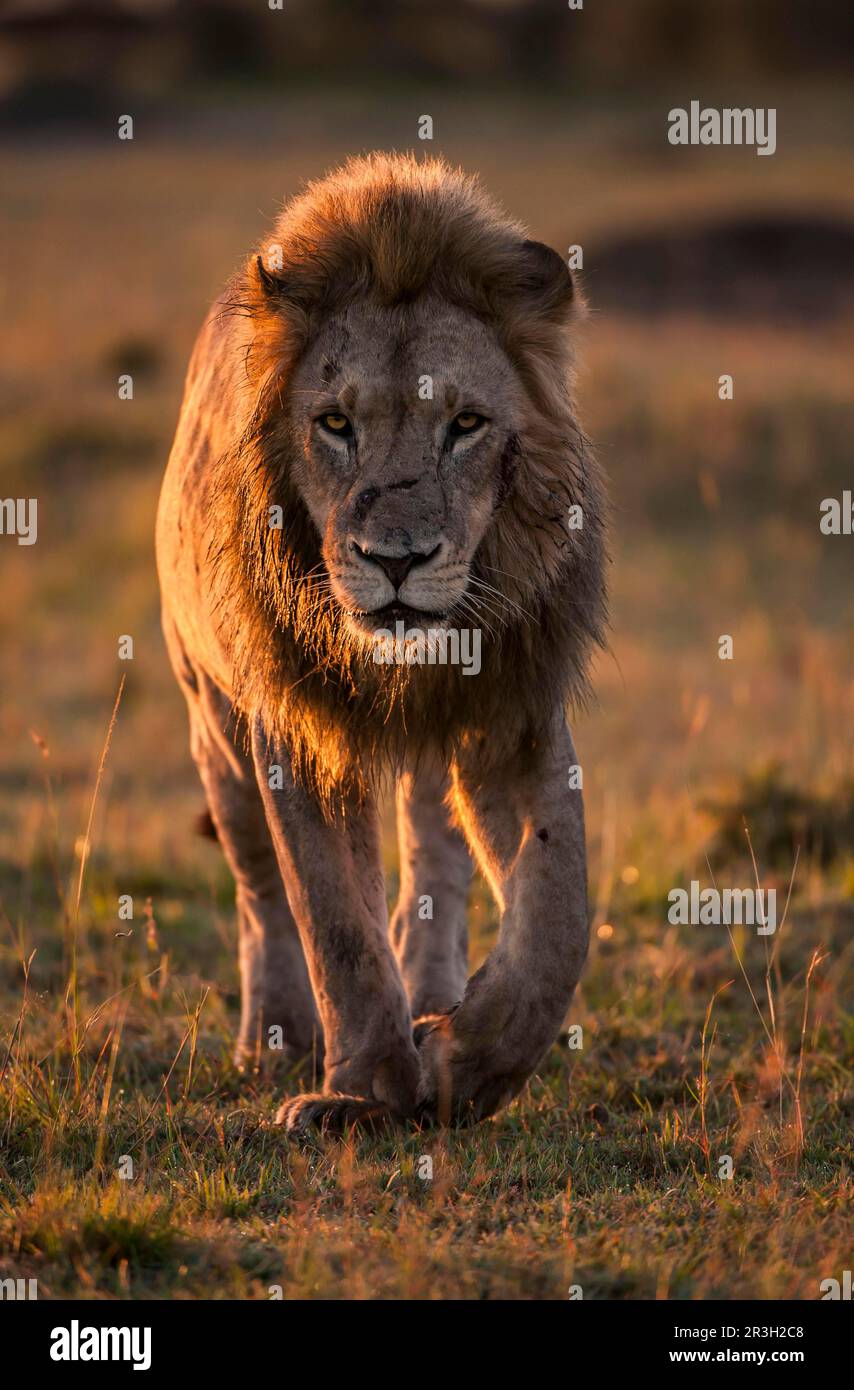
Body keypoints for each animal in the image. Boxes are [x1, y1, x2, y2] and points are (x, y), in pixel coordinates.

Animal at [156, 152, 607, 1133]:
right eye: (335, 423)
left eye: (466, 424)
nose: (396, 560)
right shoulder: (293, 725)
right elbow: (333, 920)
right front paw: (361, 1094)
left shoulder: (511, 709)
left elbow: (559, 911)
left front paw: (465, 1058)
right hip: (211, 720)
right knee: (259, 889)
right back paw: (274, 1039)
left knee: (436, 856)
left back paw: (433, 992)